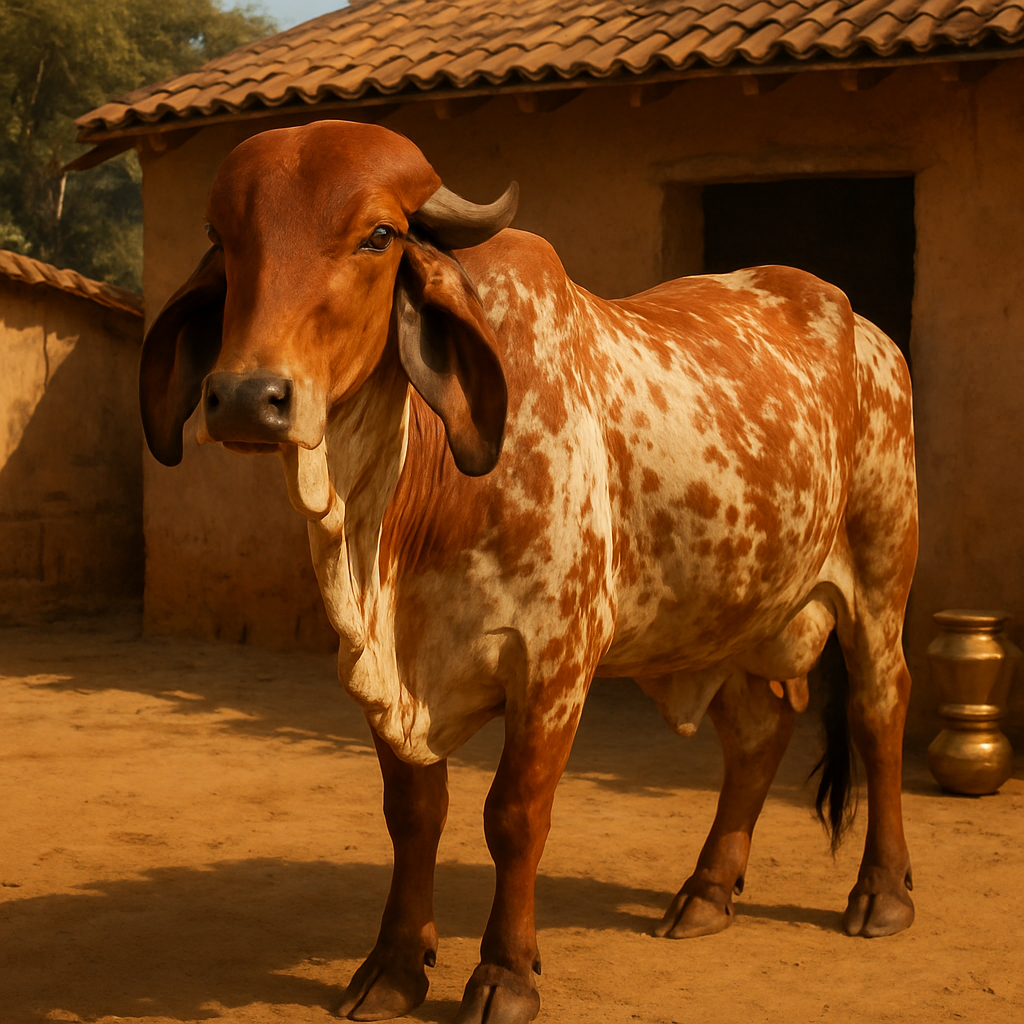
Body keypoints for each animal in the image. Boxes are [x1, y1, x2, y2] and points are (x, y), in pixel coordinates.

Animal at [140, 120, 918, 1024]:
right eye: (224, 239)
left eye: (378, 235)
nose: (246, 397)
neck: (406, 508)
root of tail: (866, 328)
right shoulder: (389, 674)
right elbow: (413, 814)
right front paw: (395, 965)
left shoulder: (554, 662)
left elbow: (514, 815)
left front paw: (505, 972)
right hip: (725, 616)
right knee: (759, 732)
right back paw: (706, 893)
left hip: (879, 578)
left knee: (877, 708)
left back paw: (883, 892)